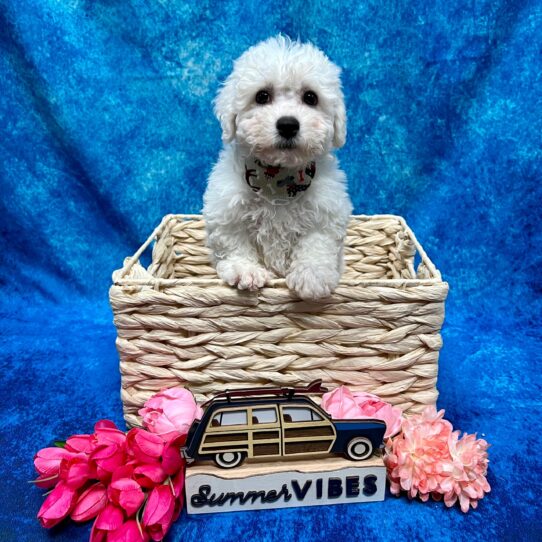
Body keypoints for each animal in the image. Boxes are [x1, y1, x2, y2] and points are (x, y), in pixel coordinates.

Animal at [204, 37, 352, 302]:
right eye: (262, 96)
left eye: (311, 97)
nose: (288, 124)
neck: (279, 180)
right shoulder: (225, 210)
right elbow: (233, 242)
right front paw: (245, 270)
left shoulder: (327, 212)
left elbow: (317, 243)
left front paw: (311, 276)